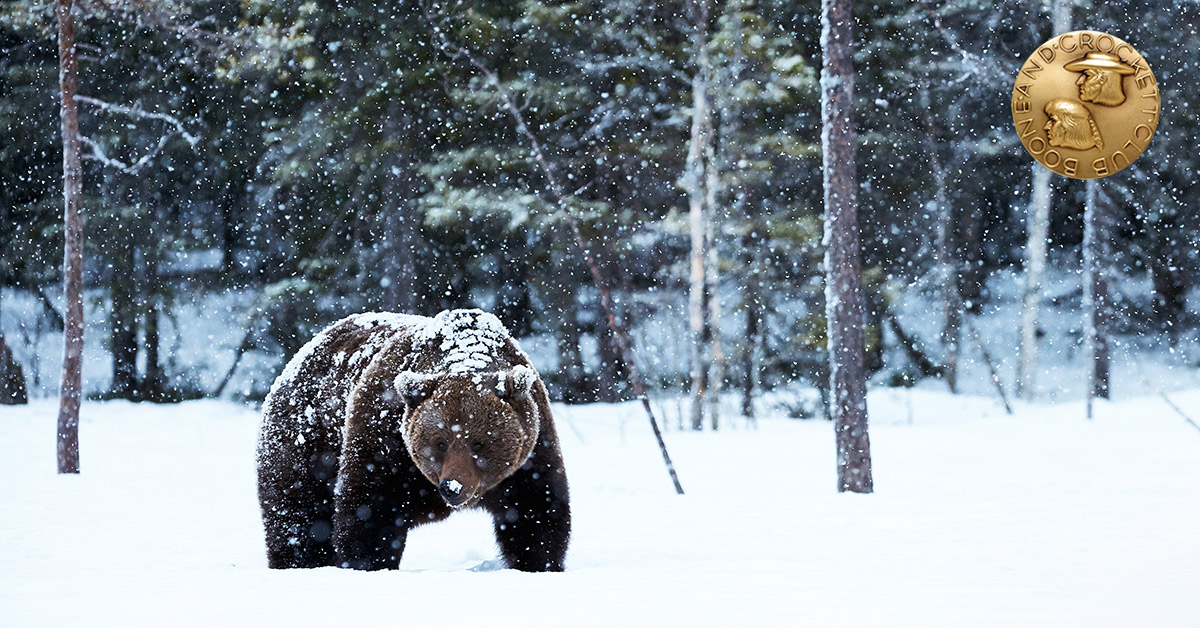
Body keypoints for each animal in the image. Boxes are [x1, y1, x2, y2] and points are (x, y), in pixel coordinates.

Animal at [256, 309, 570, 572]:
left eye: (479, 443)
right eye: (440, 443)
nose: (452, 487)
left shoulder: (530, 453)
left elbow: (536, 513)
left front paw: (539, 564)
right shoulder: (384, 438)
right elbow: (368, 513)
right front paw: (370, 564)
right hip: (306, 442)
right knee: (298, 515)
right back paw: (298, 563)